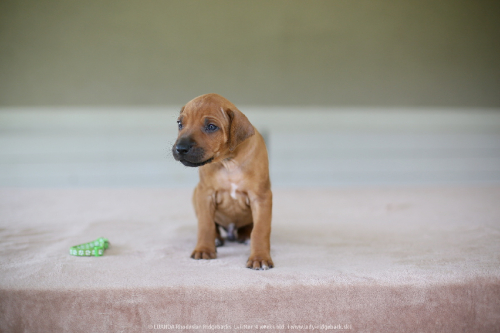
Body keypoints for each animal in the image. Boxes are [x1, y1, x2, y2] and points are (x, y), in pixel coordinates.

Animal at [172, 93, 274, 270]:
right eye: (180, 124)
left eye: (211, 127)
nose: (180, 148)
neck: (229, 162)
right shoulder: (205, 194)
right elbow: (205, 225)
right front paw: (204, 249)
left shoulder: (261, 197)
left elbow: (260, 230)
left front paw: (260, 257)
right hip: (195, 194)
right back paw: (217, 238)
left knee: (250, 227)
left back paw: (245, 235)